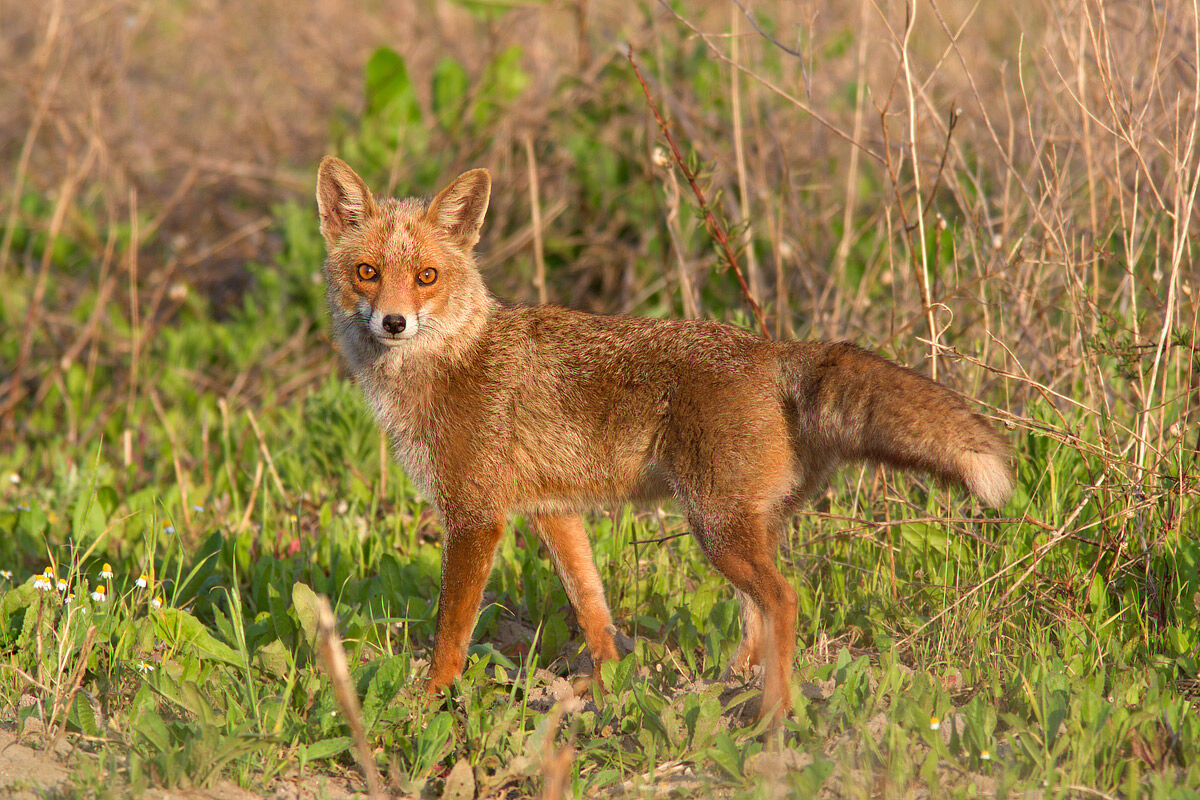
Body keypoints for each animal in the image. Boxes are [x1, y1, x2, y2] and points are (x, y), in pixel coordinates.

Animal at [315, 156, 1013, 722]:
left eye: (427, 277)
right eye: (367, 272)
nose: (394, 322)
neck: (447, 361)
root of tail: (771, 350)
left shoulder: (475, 517)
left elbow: (451, 633)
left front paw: (430, 699)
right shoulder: (552, 510)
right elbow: (592, 606)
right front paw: (608, 686)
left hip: (715, 527)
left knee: (784, 600)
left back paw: (772, 716)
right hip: (744, 527)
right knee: (757, 617)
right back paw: (728, 690)